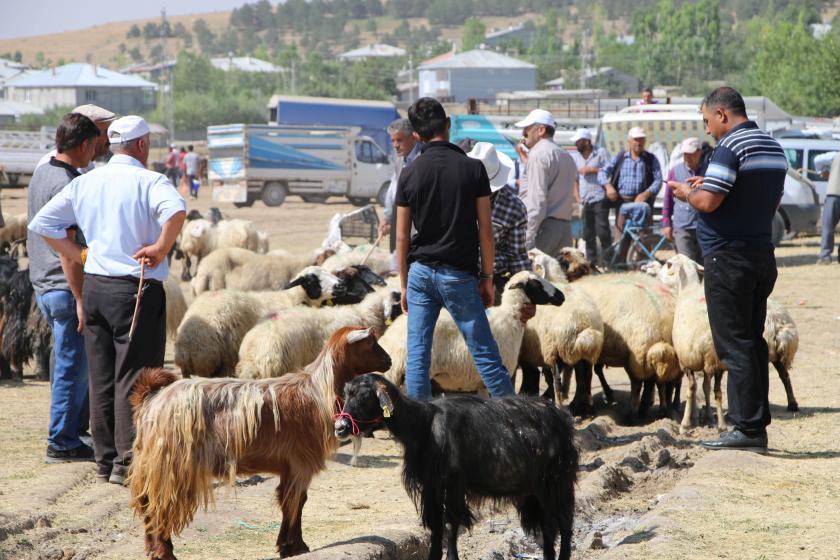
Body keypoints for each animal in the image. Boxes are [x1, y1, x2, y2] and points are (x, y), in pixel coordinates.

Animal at [130, 326, 392, 556]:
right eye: (371, 342)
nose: (389, 360)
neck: (317, 391)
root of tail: (153, 400)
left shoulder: (289, 467)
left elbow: (288, 501)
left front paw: (286, 545)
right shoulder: (301, 462)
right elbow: (296, 502)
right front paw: (297, 547)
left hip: (151, 465)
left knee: (147, 505)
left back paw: (152, 549)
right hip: (173, 466)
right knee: (160, 506)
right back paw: (164, 552)